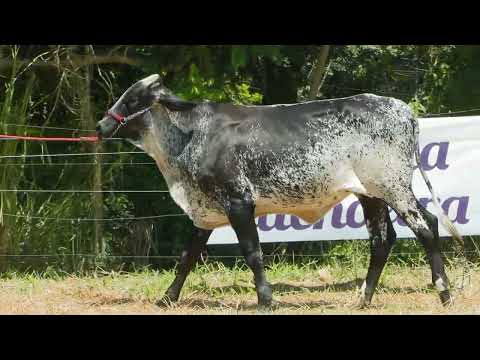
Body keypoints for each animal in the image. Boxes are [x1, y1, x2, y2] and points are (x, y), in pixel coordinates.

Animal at [96, 74, 462, 310]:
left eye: (133, 99)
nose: (101, 126)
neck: (190, 136)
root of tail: (402, 109)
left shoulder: (238, 202)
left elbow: (253, 253)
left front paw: (265, 300)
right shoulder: (207, 210)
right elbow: (187, 256)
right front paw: (167, 298)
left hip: (393, 186)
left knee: (426, 225)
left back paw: (444, 293)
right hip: (370, 194)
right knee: (383, 240)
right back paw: (362, 299)